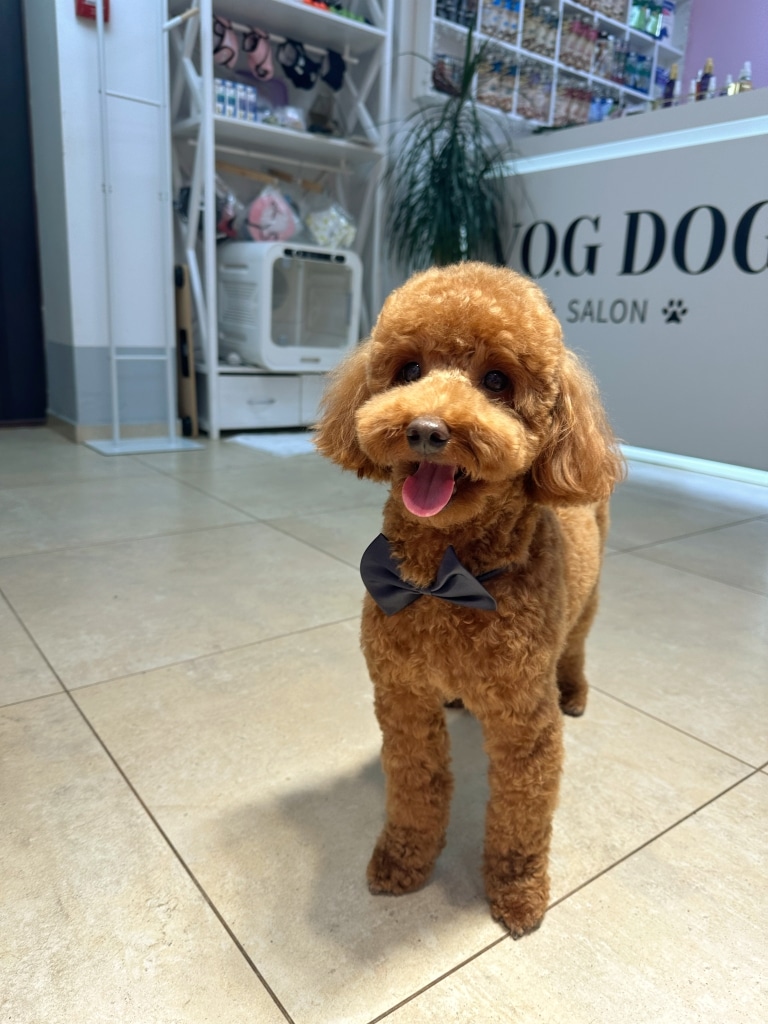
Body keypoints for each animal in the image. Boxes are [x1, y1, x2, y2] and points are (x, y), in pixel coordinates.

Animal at [314, 262, 624, 937]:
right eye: (408, 370)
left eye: (498, 381)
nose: (428, 430)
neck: (445, 579)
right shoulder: (403, 698)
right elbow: (416, 786)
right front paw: (402, 861)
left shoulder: (525, 721)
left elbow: (520, 814)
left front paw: (518, 891)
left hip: (589, 600)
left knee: (577, 646)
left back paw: (576, 690)